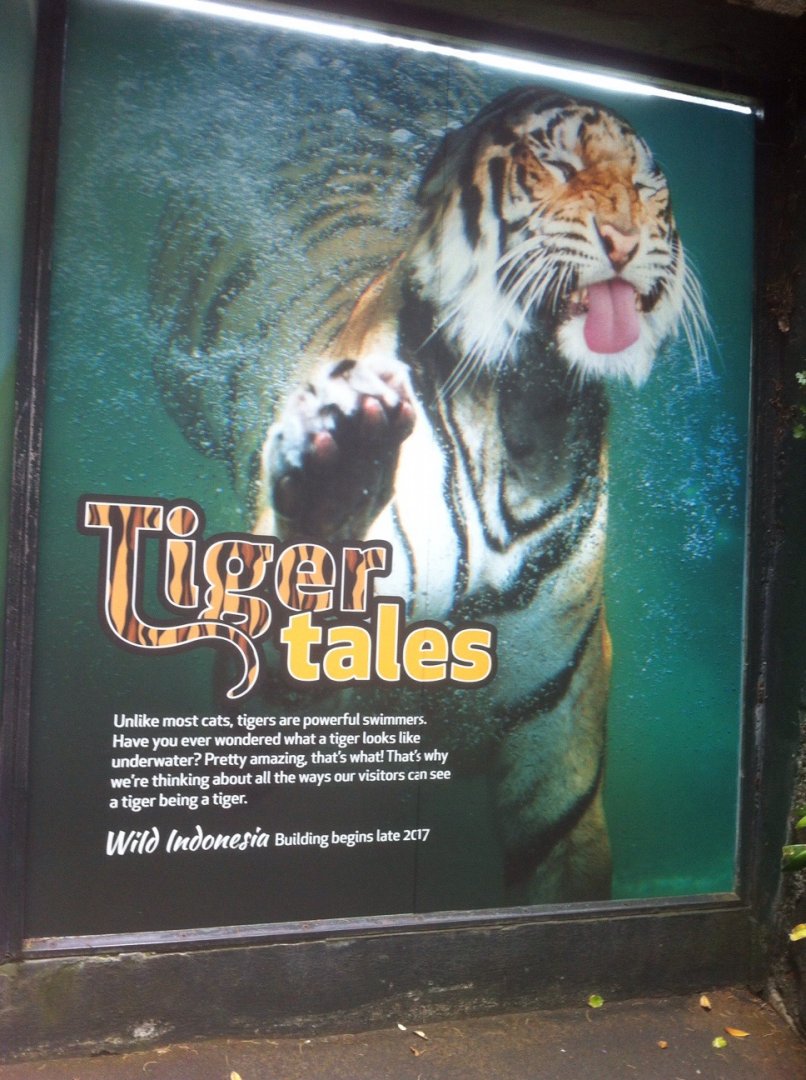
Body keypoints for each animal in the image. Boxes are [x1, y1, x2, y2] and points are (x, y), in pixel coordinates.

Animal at [247, 86, 708, 904]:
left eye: (647, 185)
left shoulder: (560, 778)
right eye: (558, 164)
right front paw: (340, 461)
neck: (526, 416)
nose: (624, 239)